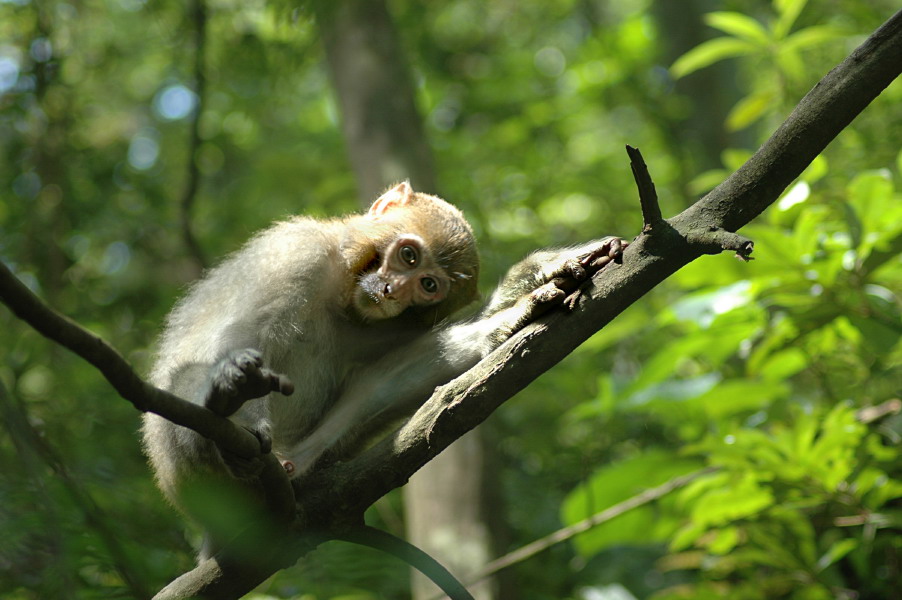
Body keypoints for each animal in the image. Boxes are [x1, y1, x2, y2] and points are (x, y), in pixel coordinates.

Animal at [143, 182, 628, 552]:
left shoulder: (395, 324)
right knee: (191, 380)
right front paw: (237, 392)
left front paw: (525, 291)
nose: (393, 290)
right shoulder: (296, 254)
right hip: (190, 474)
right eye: (409, 256)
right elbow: (240, 337)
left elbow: (404, 369)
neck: (341, 289)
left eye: (428, 285)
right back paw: (228, 409)